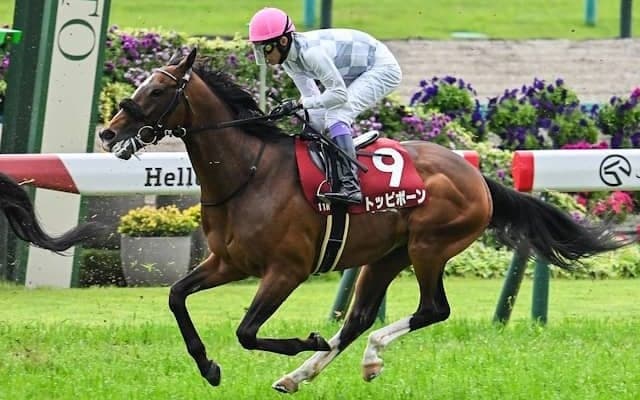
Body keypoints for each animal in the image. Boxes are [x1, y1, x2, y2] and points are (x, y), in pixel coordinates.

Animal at [98, 48, 628, 394]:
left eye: (158, 89)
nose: (108, 133)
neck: (249, 173)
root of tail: (477, 176)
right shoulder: (229, 263)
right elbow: (176, 296)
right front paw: (208, 366)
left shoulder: (287, 270)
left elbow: (247, 331)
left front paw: (300, 340)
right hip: (385, 256)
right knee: (357, 318)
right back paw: (300, 375)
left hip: (428, 246)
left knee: (432, 309)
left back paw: (367, 357)